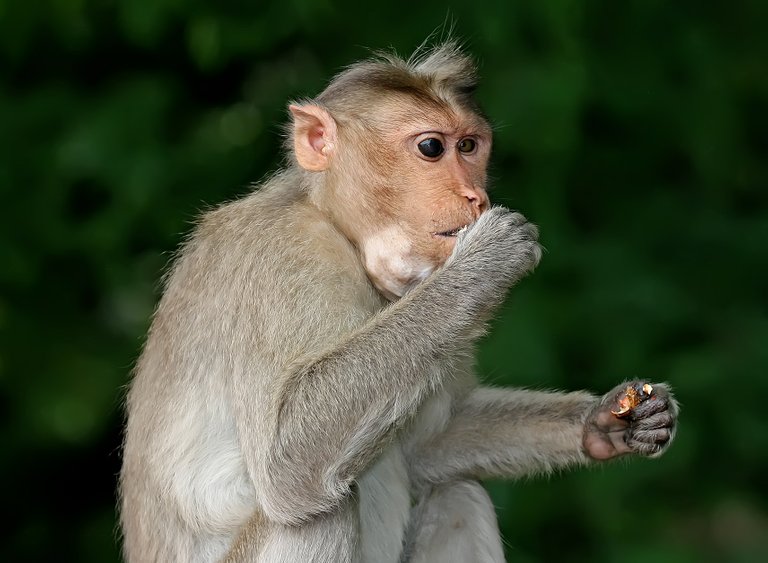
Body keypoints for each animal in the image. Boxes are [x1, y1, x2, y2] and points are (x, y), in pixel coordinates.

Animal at [120, 43, 680, 563]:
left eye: (470, 146)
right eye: (432, 147)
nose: (475, 196)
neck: (342, 233)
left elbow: (428, 445)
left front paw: (604, 422)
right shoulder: (283, 257)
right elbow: (286, 457)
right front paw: (486, 260)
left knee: (459, 496)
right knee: (318, 511)